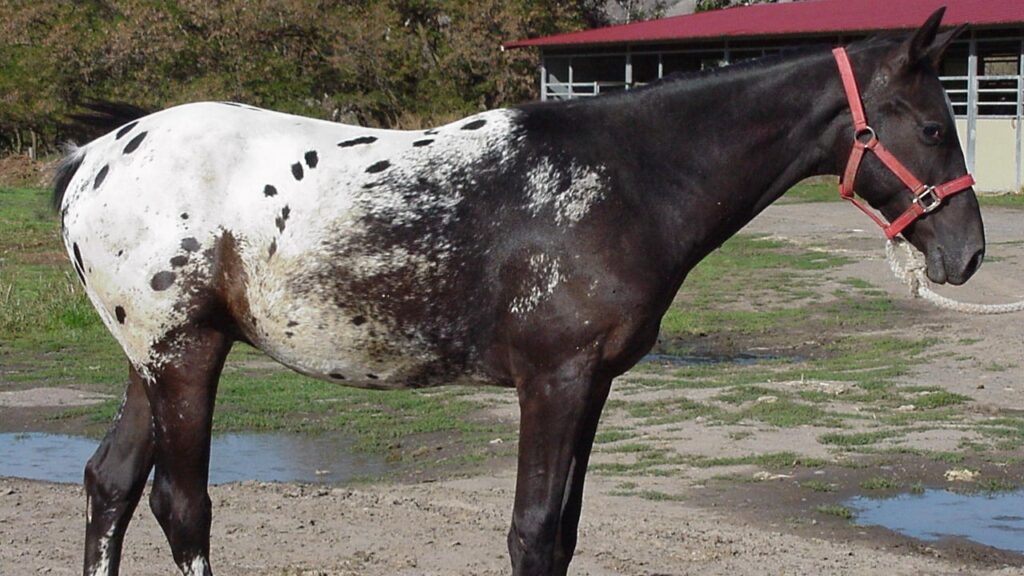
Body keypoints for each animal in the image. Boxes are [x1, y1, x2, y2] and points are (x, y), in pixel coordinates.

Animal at [55, 9, 983, 576]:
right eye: (933, 127)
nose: (968, 254)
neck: (627, 178)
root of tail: (96, 155)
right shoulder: (554, 380)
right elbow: (533, 534)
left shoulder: (592, 384)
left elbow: (563, 534)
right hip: (184, 356)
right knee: (181, 505)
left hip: (151, 360)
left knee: (110, 483)